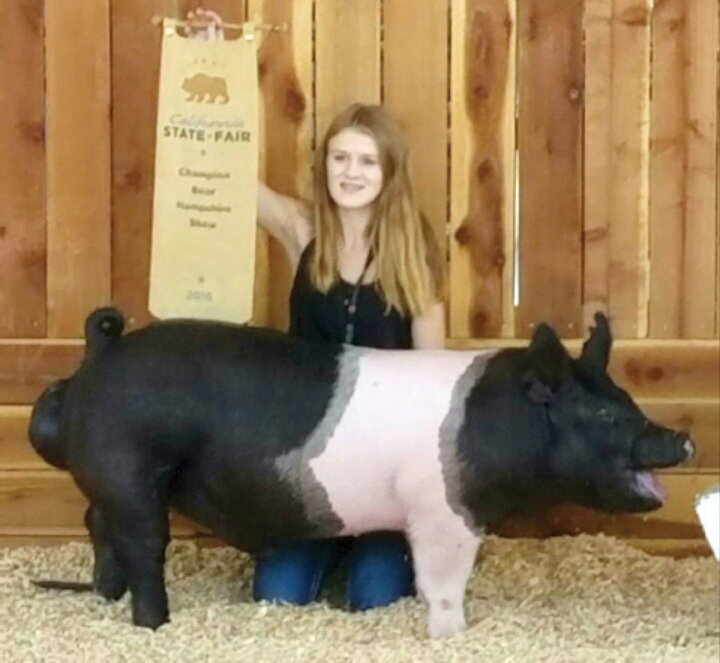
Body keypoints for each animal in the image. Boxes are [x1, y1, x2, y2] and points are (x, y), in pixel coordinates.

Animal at [28, 307, 694, 638]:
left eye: (627, 398)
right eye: (606, 415)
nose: (684, 438)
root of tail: (101, 355)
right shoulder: (442, 509)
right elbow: (442, 579)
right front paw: (453, 636)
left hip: (113, 478)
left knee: (98, 523)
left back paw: (107, 597)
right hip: (131, 464)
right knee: (144, 542)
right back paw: (153, 626)